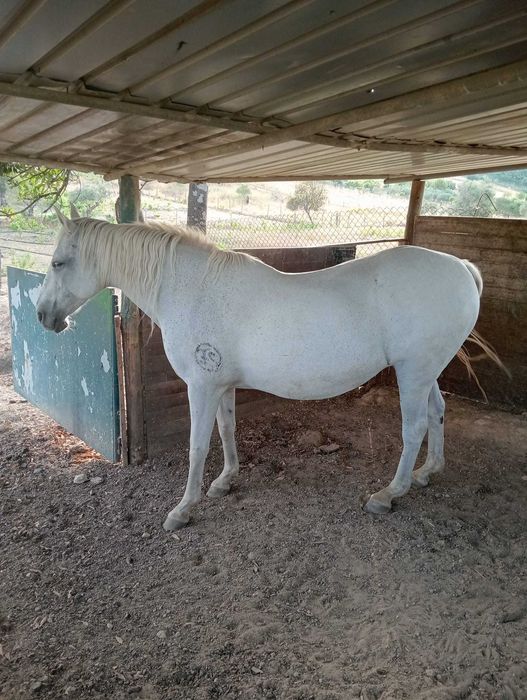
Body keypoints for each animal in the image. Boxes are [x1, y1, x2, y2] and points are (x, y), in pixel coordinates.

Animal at [37, 205, 483, 531]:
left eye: (58, 263)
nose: (42, 315)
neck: (193, 288)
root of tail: (461, 267)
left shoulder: (201, 387)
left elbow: (197, 446)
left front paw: (183, 510)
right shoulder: (221, 385)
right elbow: (227, 430)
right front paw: (225, 480)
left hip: (414, 372)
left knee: (415, 428)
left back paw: (389, 493)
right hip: (425, 372)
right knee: (437, 412)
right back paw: (427, 472)